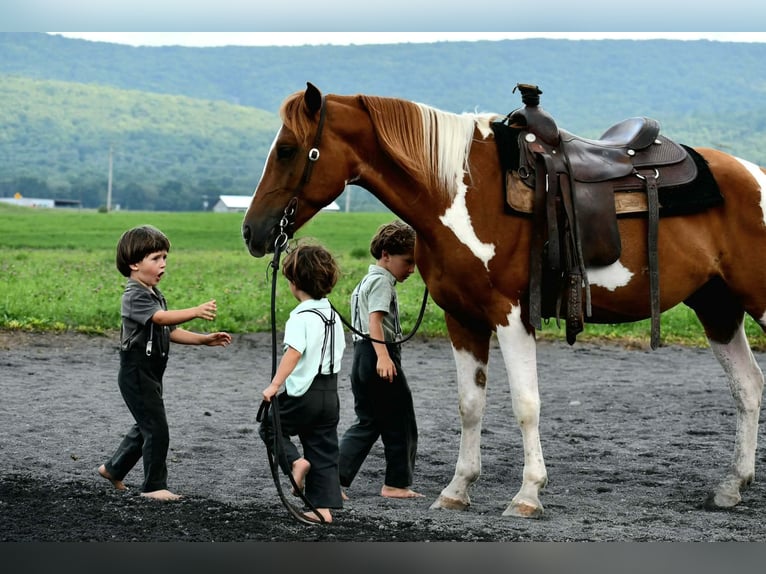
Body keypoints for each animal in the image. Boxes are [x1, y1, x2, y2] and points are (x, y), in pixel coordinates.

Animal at [242, 82, 766, 518]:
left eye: (287, 150)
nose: (252, 232)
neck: (459, 192)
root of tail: (753, 173)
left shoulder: (511, 316)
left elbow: (525, 404)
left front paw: (528, 494)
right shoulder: (463, 320)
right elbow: (470, 404)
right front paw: (457, 490)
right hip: (717, 307)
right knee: (747, 387)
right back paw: (730, 486)